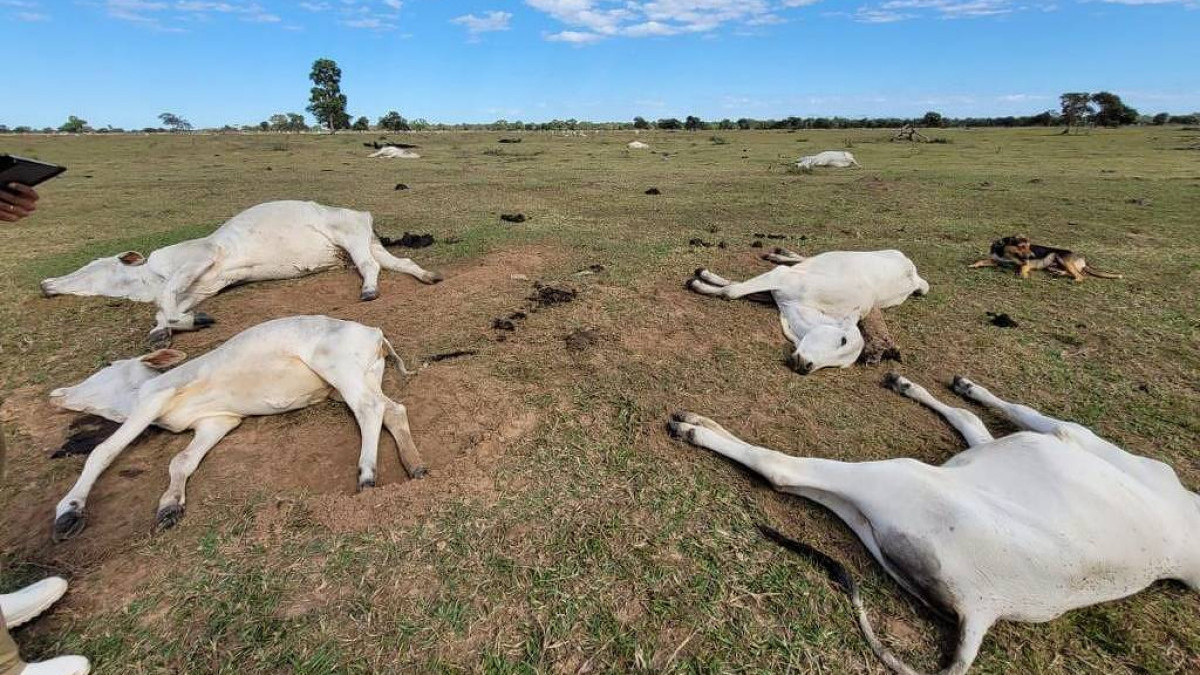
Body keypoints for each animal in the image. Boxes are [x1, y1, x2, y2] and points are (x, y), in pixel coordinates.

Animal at [42, 198, 448, 345]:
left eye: (93, 266)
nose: (46, 283)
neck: (148, 276)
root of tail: (362, 214)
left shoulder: (202, 256)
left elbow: (166, 297)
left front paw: (175, 325)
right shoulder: (203, 286)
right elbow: (169, 307)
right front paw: (168, 328)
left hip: (351, 239)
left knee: (369, 266)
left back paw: (368, 290)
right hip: (363, 243)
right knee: (396, 263)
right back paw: (427, 276)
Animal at [48, 314, 432, 540]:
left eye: (107, 367)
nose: (57, 393)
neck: (133, 396)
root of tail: (374, 333)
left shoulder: (155, 398)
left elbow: (103, 451)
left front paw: (69, 510)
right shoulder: (217, 421)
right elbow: (181, 461)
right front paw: (170, 506)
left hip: (339, 369)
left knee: (370, 409)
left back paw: (367, 473)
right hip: (361, 378)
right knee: (393, 409)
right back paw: (415, 465)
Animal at [667, 372, 1200, 672]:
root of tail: (986, 609)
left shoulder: (1071, 435)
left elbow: (1011, 413)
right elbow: (972, 420)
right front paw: (924, 385)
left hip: (898, 477)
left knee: (781, 469)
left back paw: (695, 428)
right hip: (876, 520)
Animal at [686, 248, 926, 372]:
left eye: (841, 365)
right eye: (843, 340)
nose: (806, 366)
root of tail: (914, 275)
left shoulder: (775, 292)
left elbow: (734, 286)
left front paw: (703, 279)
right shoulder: (782, 277)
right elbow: (733, 290)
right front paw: (699, 279)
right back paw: (779, 253)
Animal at [969, 235, 1118, 279]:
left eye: (1029, 246)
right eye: (1021, 246)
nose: (1032, 255)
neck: (1005, 253)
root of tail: (1083, 260)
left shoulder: (1025, 263)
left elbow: (1023, 267)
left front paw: (1023, 275)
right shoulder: (997, 261)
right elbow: (983, 260)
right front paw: (974, 265)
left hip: (1060, 256)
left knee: (1081, 276)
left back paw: (1074, 280)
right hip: (1055, 263)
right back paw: (1058, 273)